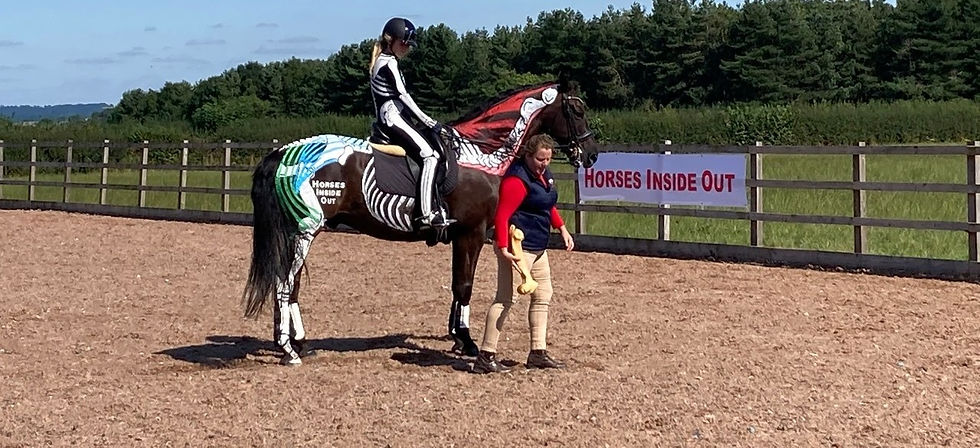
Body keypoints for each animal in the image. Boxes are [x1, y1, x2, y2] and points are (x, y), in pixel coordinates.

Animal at [242, 78, 599, 365]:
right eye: (576, 110)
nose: (591, 153)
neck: (480, 154)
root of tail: (282, 153)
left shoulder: (460, 235)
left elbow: (457, 285)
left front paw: (457, 337)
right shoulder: (471, 232)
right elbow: (464, 285)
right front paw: (468, 342)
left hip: (300, 233)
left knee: (290, 284)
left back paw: (298, 343)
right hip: (303, 231)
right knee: (285, 283)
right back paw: (288, 349)